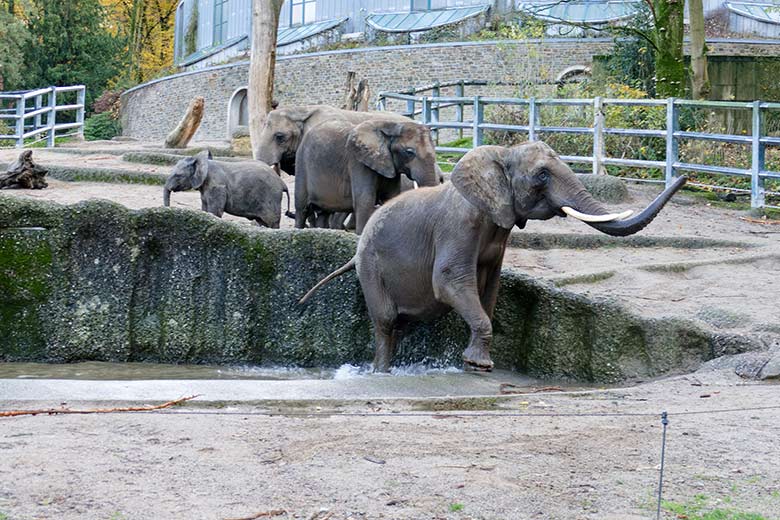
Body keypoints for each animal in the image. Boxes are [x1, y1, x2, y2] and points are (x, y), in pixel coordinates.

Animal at [163, 150, 294, 228]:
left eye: (178, 175)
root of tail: (282, 183)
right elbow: (205, 209)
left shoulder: (216, 187)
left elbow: (215, 212)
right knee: (263, 222)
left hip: (271, 197)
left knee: (272, 221)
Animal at [292, 119, 442, 233]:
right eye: (409, 152)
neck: (390, 126)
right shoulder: (358, 162)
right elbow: (364, 200)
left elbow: (391, 197)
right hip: (301, 163)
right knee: (302, 209)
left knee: (323, 213)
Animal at [300, 140, 688, 372]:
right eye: (542, 175)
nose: (684, 177)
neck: (501, 156)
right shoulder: (459, 225)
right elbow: (450, 281)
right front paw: (479, 366)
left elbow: (489, 288)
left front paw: (478, 362)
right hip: (371, 266)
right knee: (384, 322)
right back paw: (381, 372)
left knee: (399, 325)